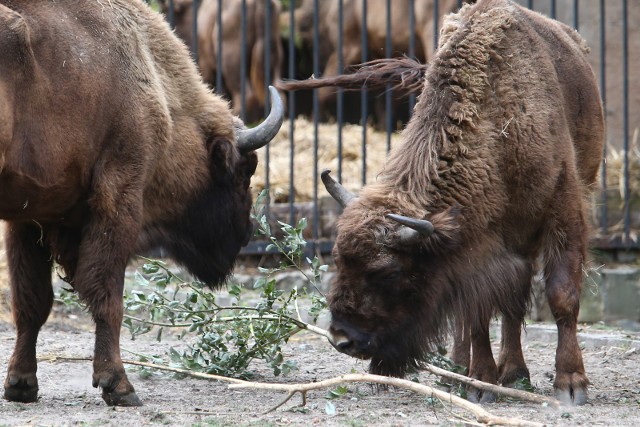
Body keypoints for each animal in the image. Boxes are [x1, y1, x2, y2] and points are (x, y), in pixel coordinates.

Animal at [0, 0, 282, 408]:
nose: (246, 235)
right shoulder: (118, 197)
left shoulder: (28, 217)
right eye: (245, 170)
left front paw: (21, 385)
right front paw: (119, 386)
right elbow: (106, 295)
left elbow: (31, 302)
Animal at [282, 0, 604, 406]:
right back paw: (472, 372)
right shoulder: (476, 250)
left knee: (516, 302)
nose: (342, 339)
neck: (498, 128)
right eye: (338, 260)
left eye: (387, 272)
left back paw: (513, 374)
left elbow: (561, 296)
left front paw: (571, 384)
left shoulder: (562, 212)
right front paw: (479, 383)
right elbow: (477, 313)